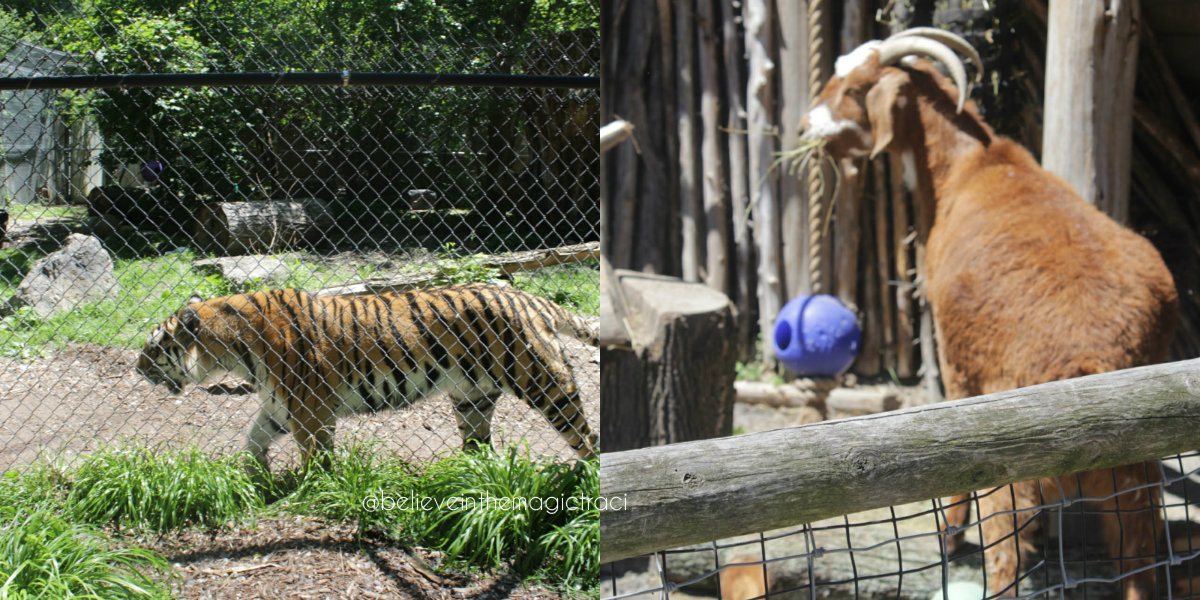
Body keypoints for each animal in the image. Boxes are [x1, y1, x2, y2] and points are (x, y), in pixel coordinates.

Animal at [136, 282, 598, 470]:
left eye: (154, 347)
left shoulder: (309, 412)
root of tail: (532, 298)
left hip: (545, 384)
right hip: (472, 397)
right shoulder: (279, 408)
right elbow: (252, 439)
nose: (136, 369)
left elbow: (315, 456)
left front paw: (314, 489)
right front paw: (252, 475)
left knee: (586, 437)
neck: (231, 350)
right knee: (479, 445)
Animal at [798, 28, 1178, 600]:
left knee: (1007, 554)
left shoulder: (956, 360)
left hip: (1014, 460)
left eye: (855, 87)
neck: (968, 166)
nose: (803, 126)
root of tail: (1096, 363)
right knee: (1140, 556)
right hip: (1137, 473)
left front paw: (949, 535)